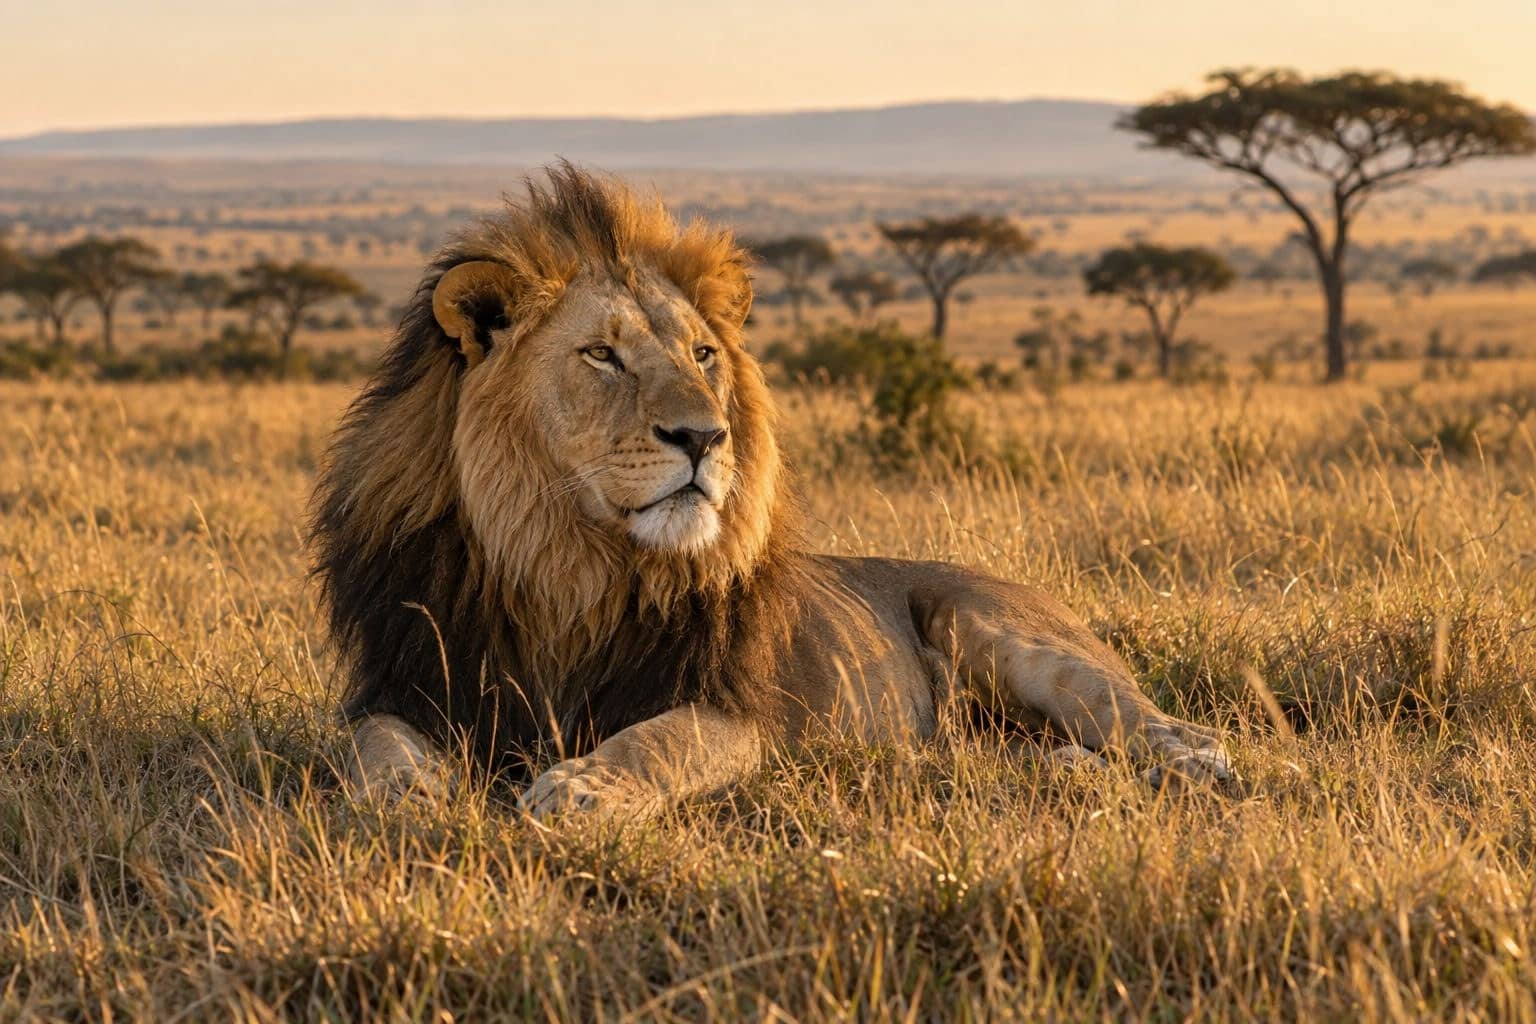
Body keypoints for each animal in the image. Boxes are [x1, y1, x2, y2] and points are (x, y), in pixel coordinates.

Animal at [311, 163, 1231, 820]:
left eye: (703, 355)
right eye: (602, 356)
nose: (703, 437)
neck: (564, 567)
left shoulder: (733, 709)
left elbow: (655, 745)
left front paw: (578, 790)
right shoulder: (409, 685)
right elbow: (372, 749)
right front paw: (410, 801)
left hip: (1010, 640)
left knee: (1162, 724)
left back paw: (1195, 766)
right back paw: (1067, 773)